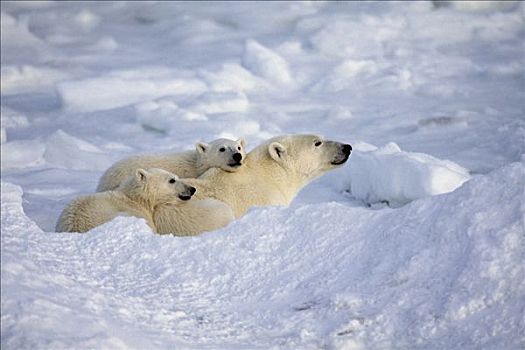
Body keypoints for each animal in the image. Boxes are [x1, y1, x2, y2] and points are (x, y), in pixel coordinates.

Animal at [55, 167, 233, 235]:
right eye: (172, 180)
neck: (136, 198)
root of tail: (75, 227)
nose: (191, 189)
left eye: (176, 177)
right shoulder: (139, 213)